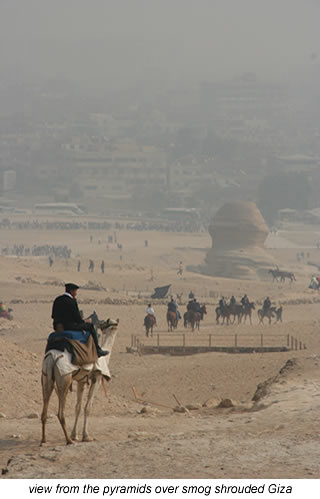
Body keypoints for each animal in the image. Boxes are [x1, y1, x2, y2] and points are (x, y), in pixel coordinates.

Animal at [41, 318, 119, 448]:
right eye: (108, 323)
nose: (101, 324)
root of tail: (52, 357)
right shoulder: (96, 378)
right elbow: (88, 407)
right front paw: (86, 436)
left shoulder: (81, 381)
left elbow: (78, 406)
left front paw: (75, 434)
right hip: (64, 379)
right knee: (60, 412)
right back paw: (68, 440)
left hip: (46, 378)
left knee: (44, 409)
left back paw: (43, 440)